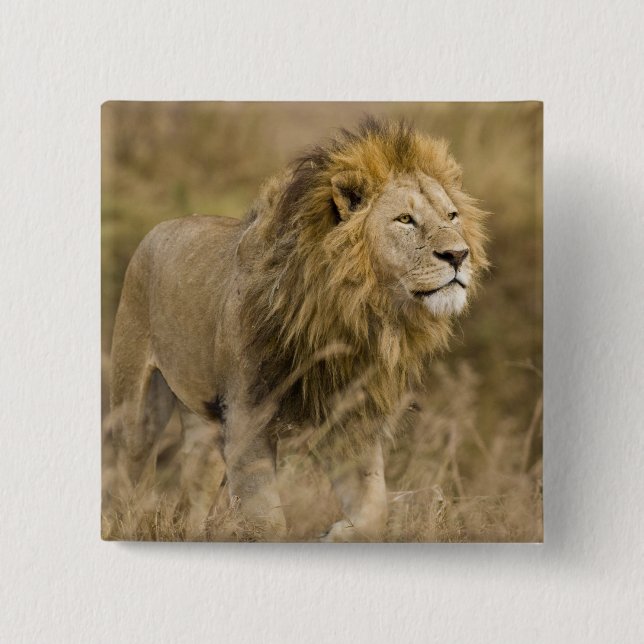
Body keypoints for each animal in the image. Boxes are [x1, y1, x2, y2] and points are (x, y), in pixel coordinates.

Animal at [109, 117, 488, 541]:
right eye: (405, 219)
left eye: (452, 216)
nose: (458, 255)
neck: (355, 311)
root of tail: (163, 225)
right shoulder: (247, 414)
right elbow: (266, 521)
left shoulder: (349, 415)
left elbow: (374, 510)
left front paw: (335, 534)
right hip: (137, 404)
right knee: (127, 473)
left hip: (205, 422)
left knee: (194, 485)